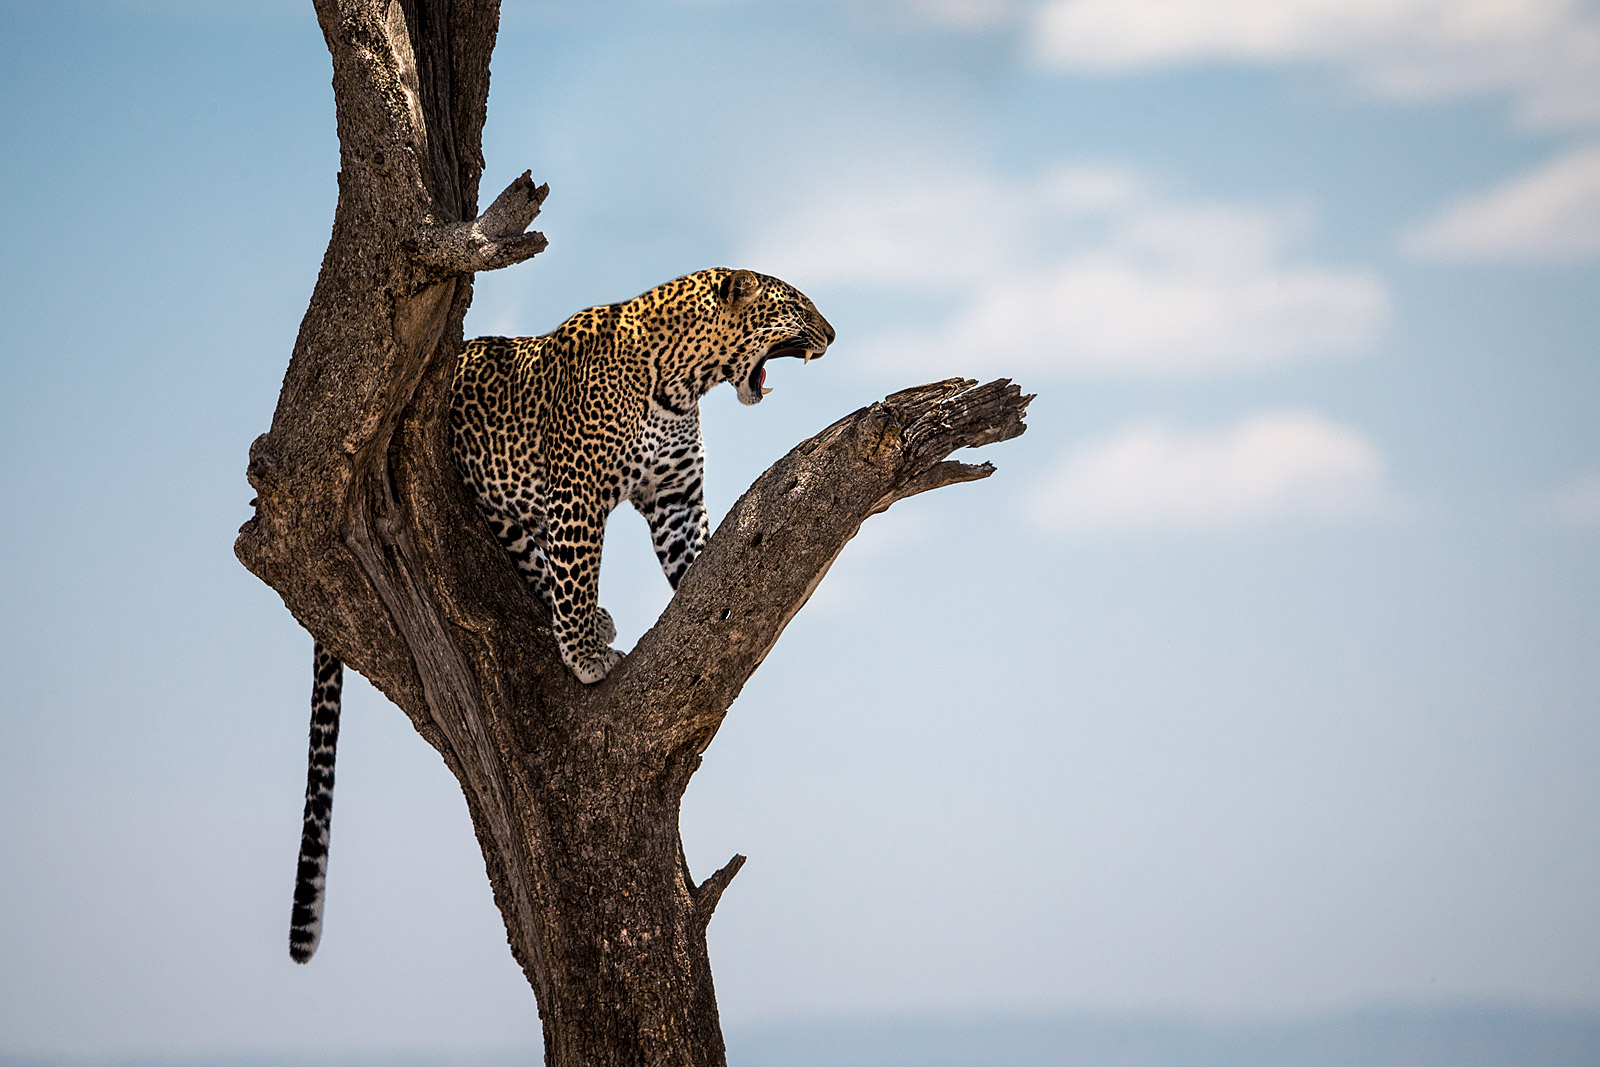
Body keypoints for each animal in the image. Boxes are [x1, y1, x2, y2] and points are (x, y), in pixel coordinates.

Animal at [291, 265, 838, 959]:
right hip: (494, 501)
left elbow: (695, 558)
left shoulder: (675, 495)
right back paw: (584, 625)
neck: (682, 380)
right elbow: (577, 572)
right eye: (798, 305)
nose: (833, 334)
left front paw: (715, 591)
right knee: (536, 564)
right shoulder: (577, 494)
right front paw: (582, 656)